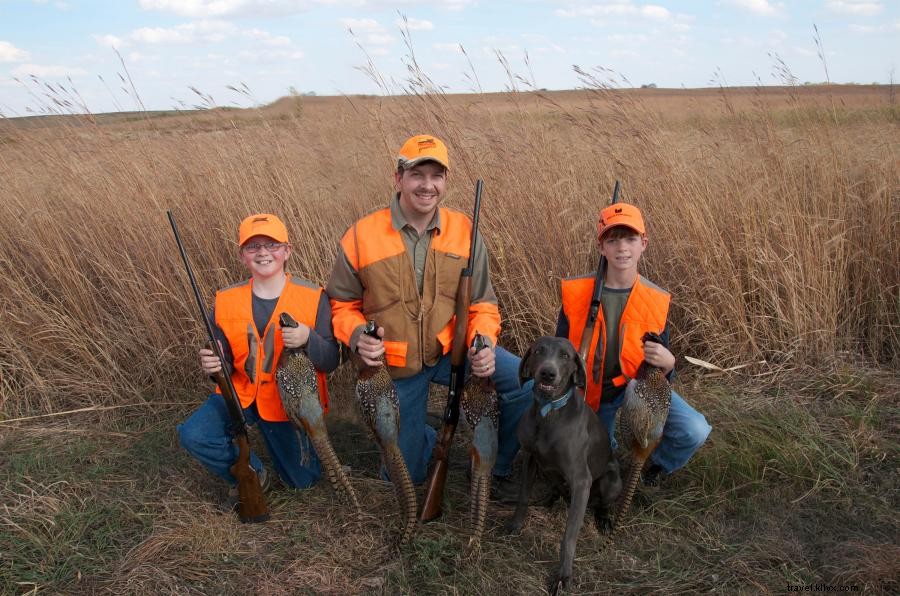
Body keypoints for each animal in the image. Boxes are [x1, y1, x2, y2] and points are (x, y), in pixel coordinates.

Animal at [506, 338, 624, 592]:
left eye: (565, 356)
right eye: (538, 351)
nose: (547, 373)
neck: (548, 412)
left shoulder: (581, 481)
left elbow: (569, 536)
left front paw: (563, 576)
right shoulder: (530, 458)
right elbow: (522, 498)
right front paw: (515, 525)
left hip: (610, 480)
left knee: (602, 503)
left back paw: (603, 520)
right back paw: (549, 499)